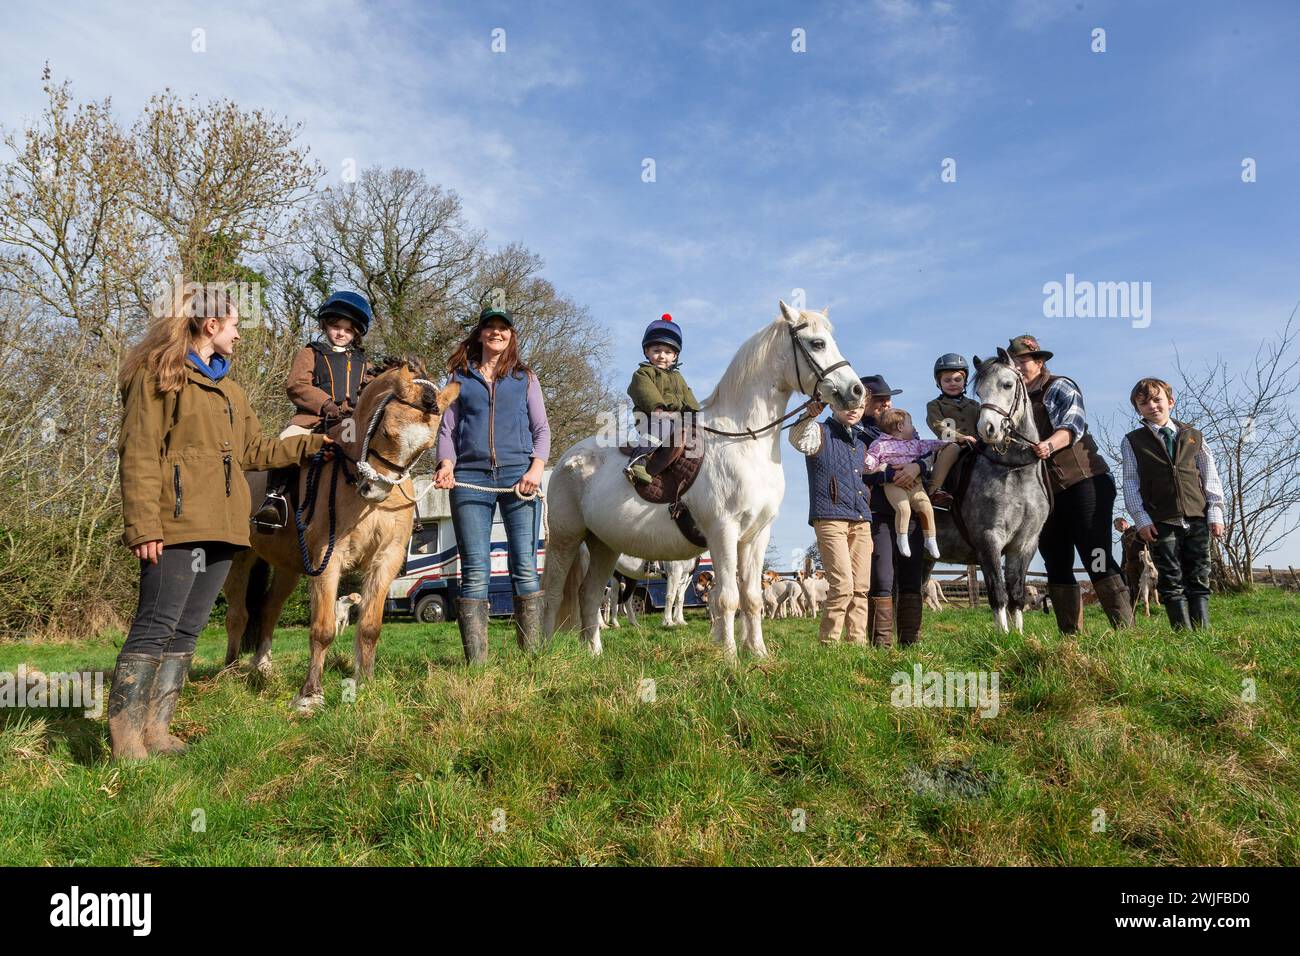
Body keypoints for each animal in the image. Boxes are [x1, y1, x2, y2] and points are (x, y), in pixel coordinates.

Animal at [224, 358, 462, 712]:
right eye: (387, 432)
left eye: (425, 447)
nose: (375, 490)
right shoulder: (329, 557)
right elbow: (323, 630)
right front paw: (310, 695)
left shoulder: (385, 560)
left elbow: (370, 627)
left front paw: (366, 685)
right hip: (239, 560)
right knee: (238, 615)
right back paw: (227, 673)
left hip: (289, 568)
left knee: (268, 609)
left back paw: (262, 667)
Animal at [540, 304, 863, 658]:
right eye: (818, 343)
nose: (857, 391)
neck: (745, 439)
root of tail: (567, 459)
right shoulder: (724, 530)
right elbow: (727, 598)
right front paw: (731, 657)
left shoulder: (756, 535)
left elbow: (751, 598)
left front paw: (759, 654)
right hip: (566, 538)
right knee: (554, 593)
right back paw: (542, 651)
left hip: (604, 546)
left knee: (590, 595)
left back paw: (594, 653)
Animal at [930, 348, 1050, 632]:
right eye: (980, 391)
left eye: (1007, 384)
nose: (988, 429)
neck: (1014, 470)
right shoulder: (989, 539)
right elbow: (998, 592)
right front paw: (1002, 636)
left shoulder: (1025, 544)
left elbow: (1016, 593)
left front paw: (1018, 635)